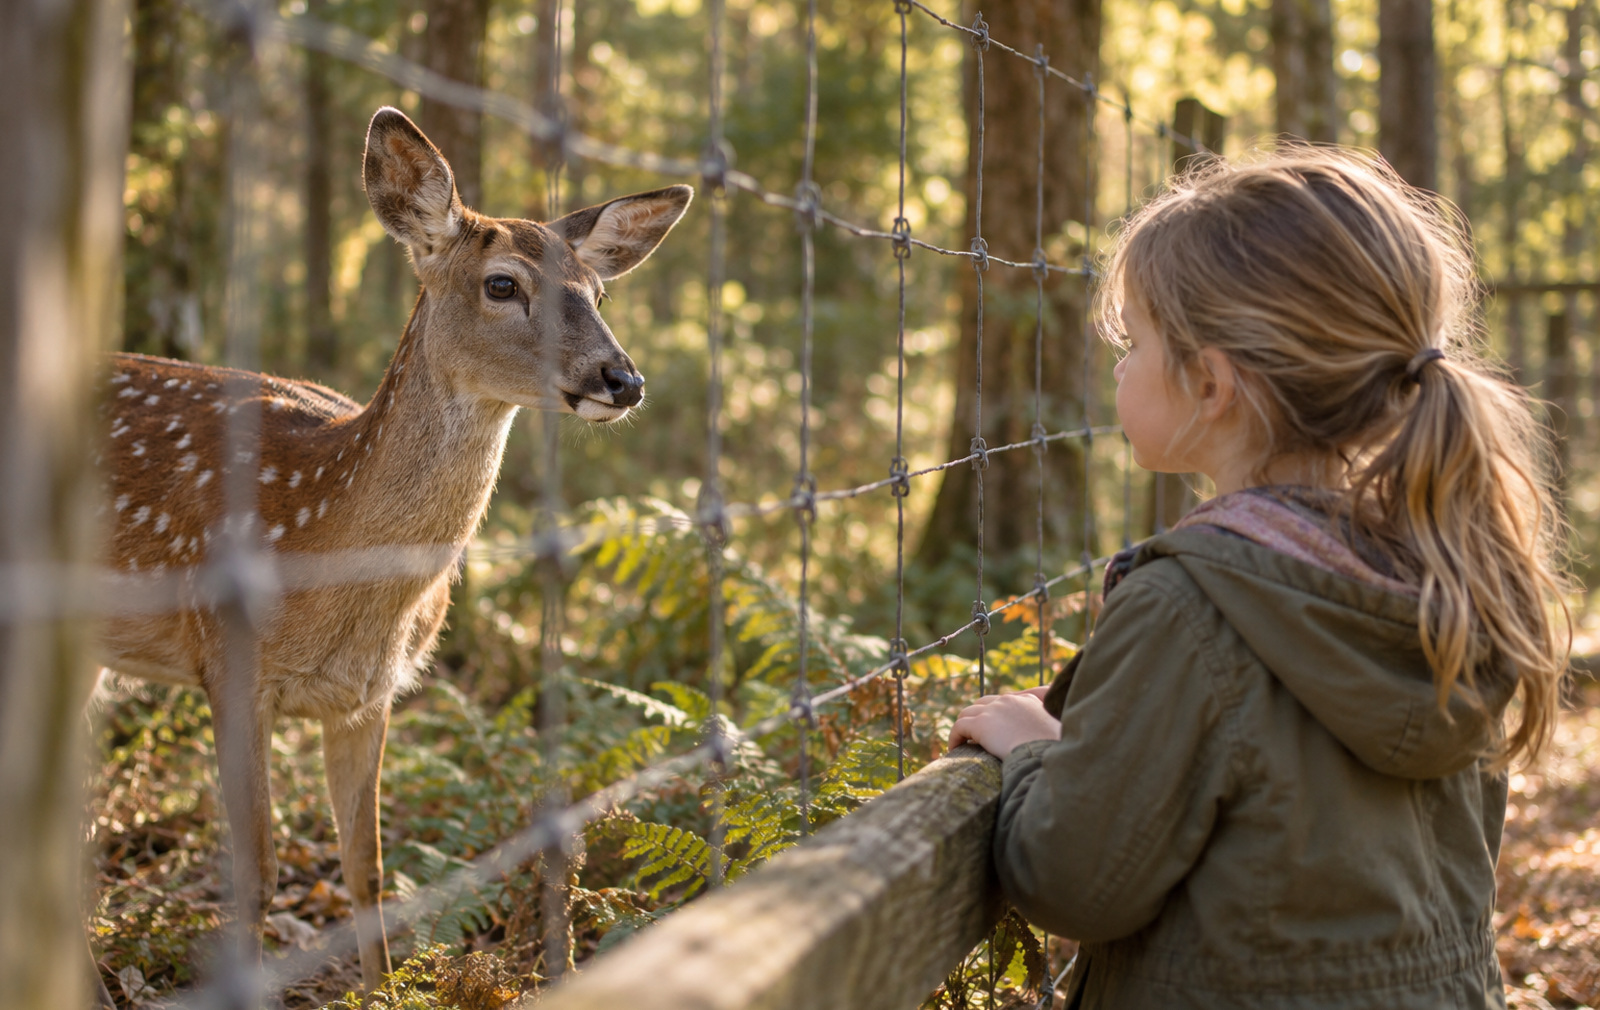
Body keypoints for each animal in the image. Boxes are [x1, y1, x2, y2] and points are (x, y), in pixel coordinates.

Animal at [95, 106, 691, 996]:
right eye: (503, 284)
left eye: (598, 291)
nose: (622, 380)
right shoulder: (227, 664)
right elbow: (258, 872)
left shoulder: (369, 696)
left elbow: (367, 867)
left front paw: (381, 991)